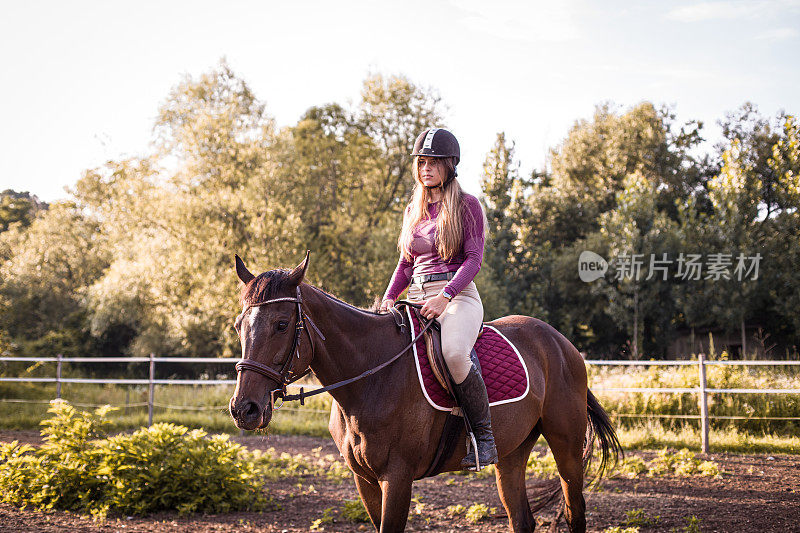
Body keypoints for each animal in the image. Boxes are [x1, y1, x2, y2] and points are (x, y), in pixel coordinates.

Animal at [228, 255, 620, 532]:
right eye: (238, 325)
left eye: (281, 325)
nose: (244, 409)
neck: (371, 377)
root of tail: (560, 343)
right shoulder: (365, 481)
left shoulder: (398, 478)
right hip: (512, 454)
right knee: (522, 519)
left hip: (566, 445)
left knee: (575, 513)